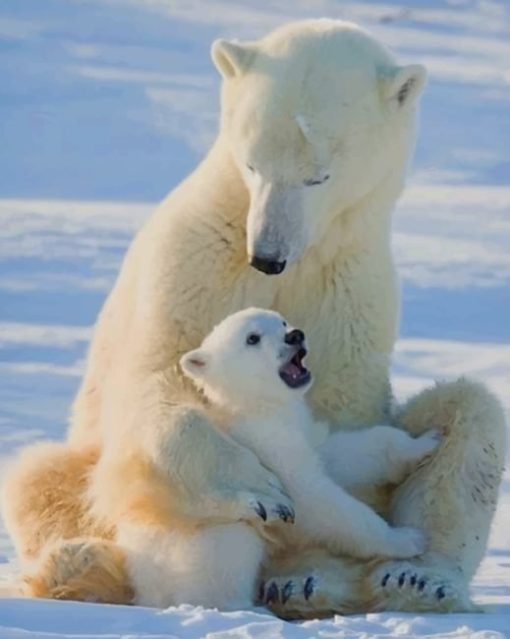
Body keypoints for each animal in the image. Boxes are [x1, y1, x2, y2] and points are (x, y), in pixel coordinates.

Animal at [1, 18, 506, 620]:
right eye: (251, 164)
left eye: (319, 177)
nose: (266, 256)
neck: (303, 249)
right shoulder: (194, 259)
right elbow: (160, 379)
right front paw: (260, 488)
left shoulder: (352, 285)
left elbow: (340, 424)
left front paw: (320, 568)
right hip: (89, 470)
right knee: (41, 478)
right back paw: (79, 566)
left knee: (473, 415)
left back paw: (396, 580)